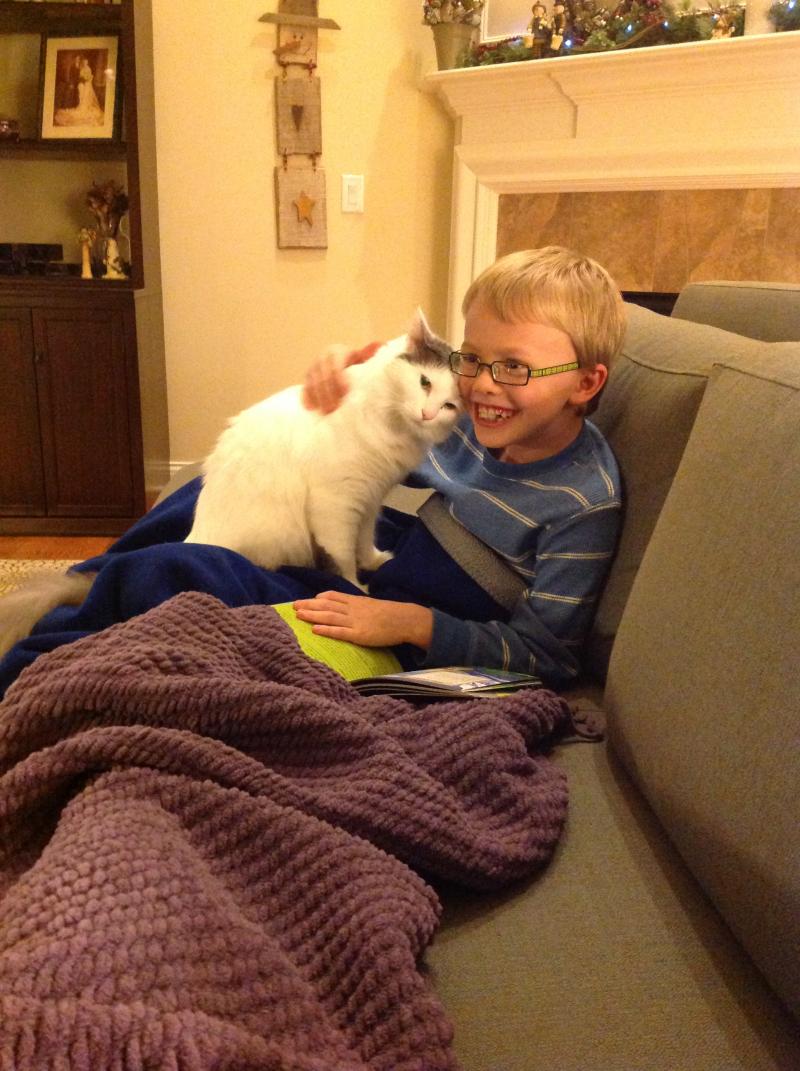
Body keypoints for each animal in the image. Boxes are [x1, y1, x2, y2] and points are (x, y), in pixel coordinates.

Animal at [185, 309, 461, 585]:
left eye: (449, 406)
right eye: (425, 382)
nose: (427, 415)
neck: (396, 430)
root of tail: (197, 536)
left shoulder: (369, 501)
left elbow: (364, 541)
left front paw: (373, 562)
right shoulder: (336, 505)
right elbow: (343, 557)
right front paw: (355, 586)